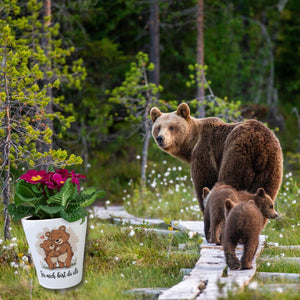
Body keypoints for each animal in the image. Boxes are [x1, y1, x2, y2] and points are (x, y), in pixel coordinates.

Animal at [151, 104, 282, 212]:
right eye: (158, 127)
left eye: (171, 127)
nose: (160, 138)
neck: (192, 145)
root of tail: (261, 149)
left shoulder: (205, 151)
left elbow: (205, 182)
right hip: (271, 168)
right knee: (266, 193)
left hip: (237, 155)